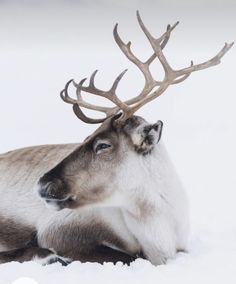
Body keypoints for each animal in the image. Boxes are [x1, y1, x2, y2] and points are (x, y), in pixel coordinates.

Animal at [0, 11, 232, 266]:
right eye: (86, 137)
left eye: (103, 145)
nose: (42, 184)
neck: (161, 232)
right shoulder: (57, 230)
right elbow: (128, 257)